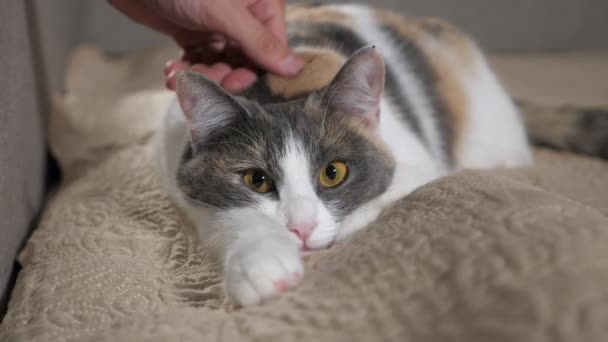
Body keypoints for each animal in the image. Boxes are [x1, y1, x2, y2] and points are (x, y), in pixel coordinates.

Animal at [158, 4, 608, 306]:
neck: (276, 89)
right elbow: (227, 214)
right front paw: (263, 263)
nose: (300, 229)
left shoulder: (417, 164)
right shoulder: (174, 168)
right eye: (257, 180)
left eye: (333, 173)